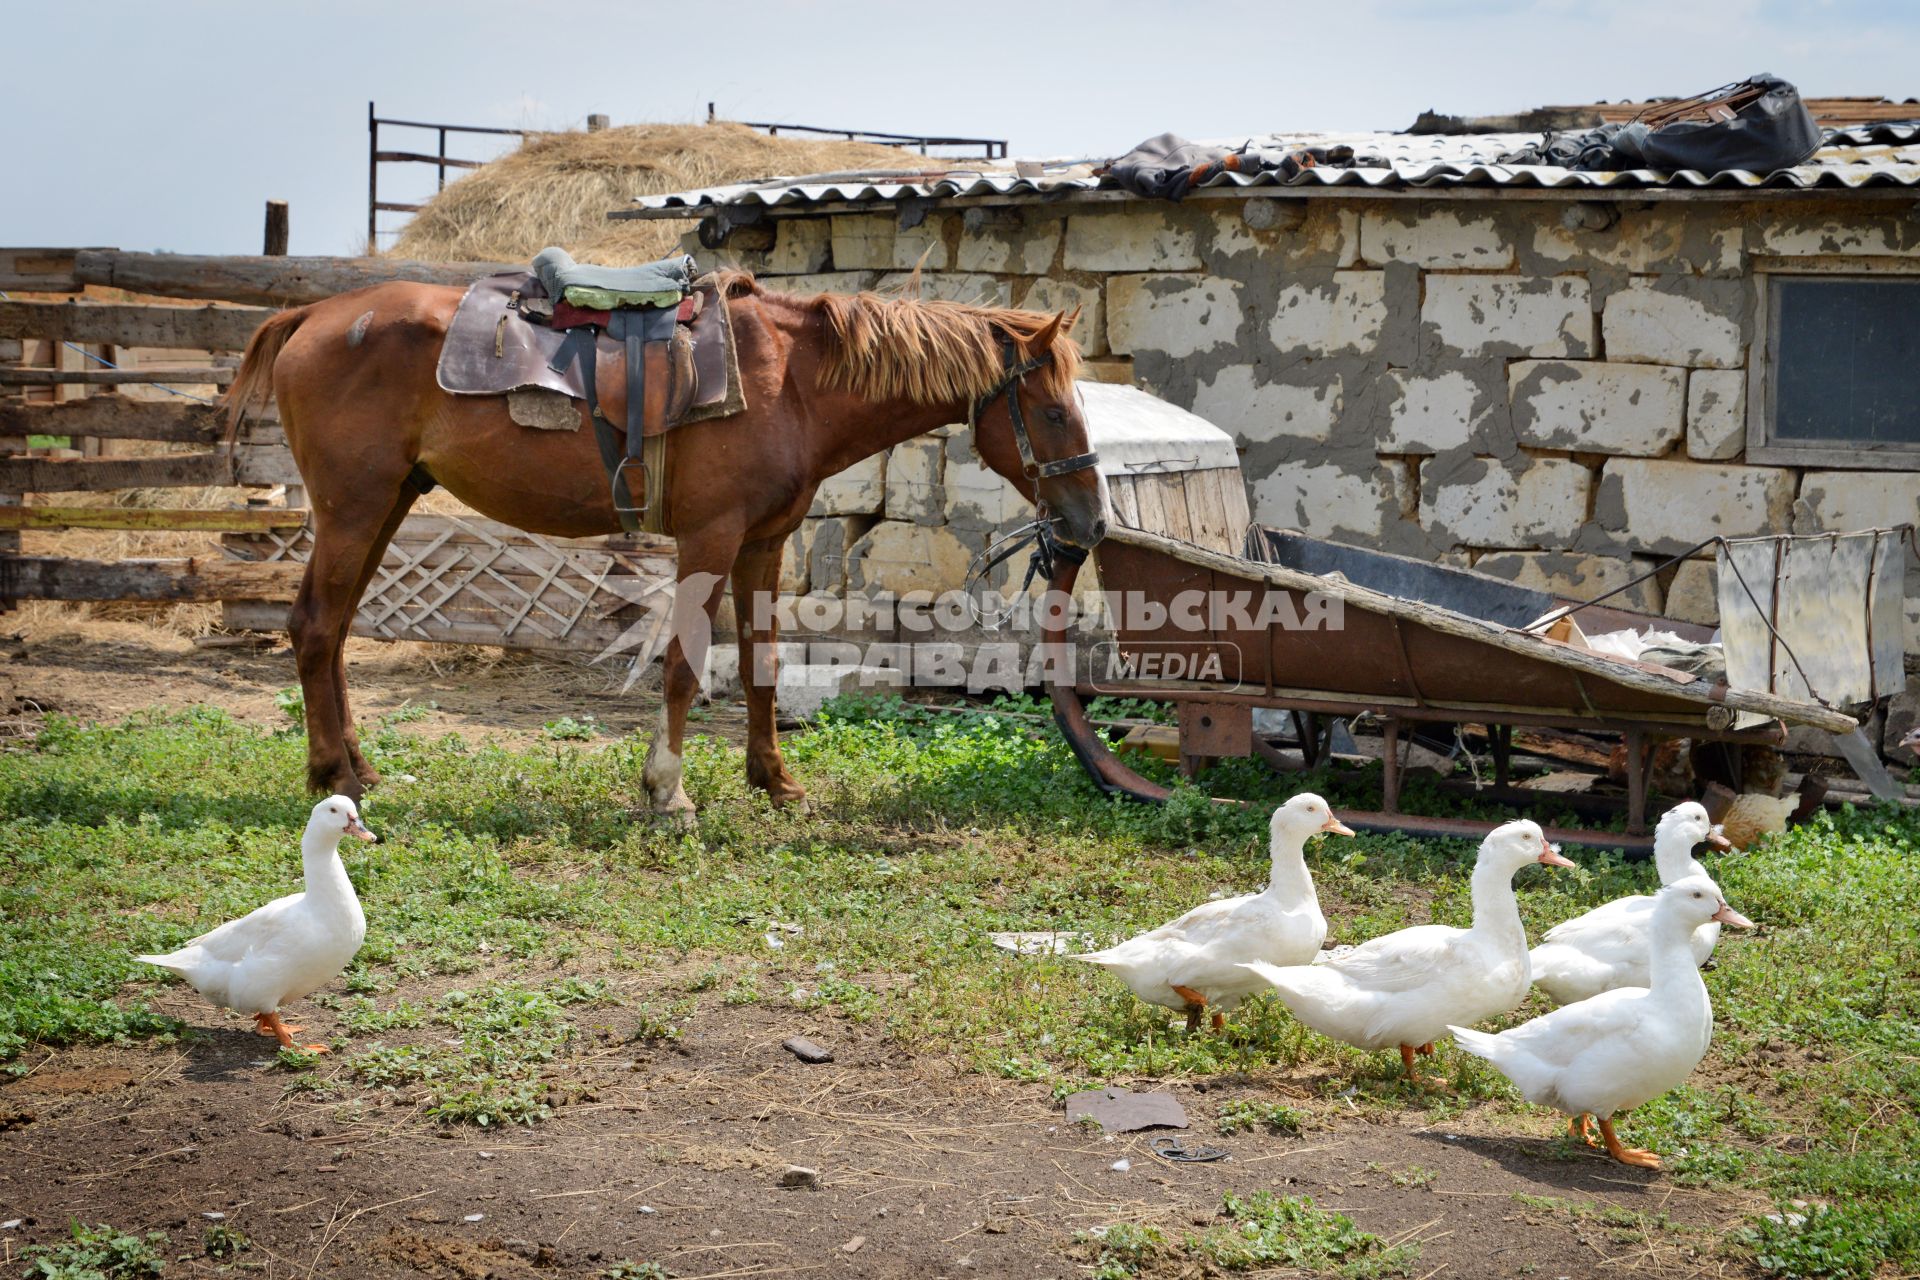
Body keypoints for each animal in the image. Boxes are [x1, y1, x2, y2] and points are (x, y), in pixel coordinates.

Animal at [222, 276, 1113, 825]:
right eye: (1056, 411)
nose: (1092, 522)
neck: (790, 382)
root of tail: (311, 317)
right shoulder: (710, 538)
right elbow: (686, 665)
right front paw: (667, 791)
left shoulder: (763, 544)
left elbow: (761, 666)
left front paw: (775, 781)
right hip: (353, 509)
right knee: (313, 628)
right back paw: (336, 776)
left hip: (384, 506)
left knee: (335, 632)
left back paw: (356, 768)